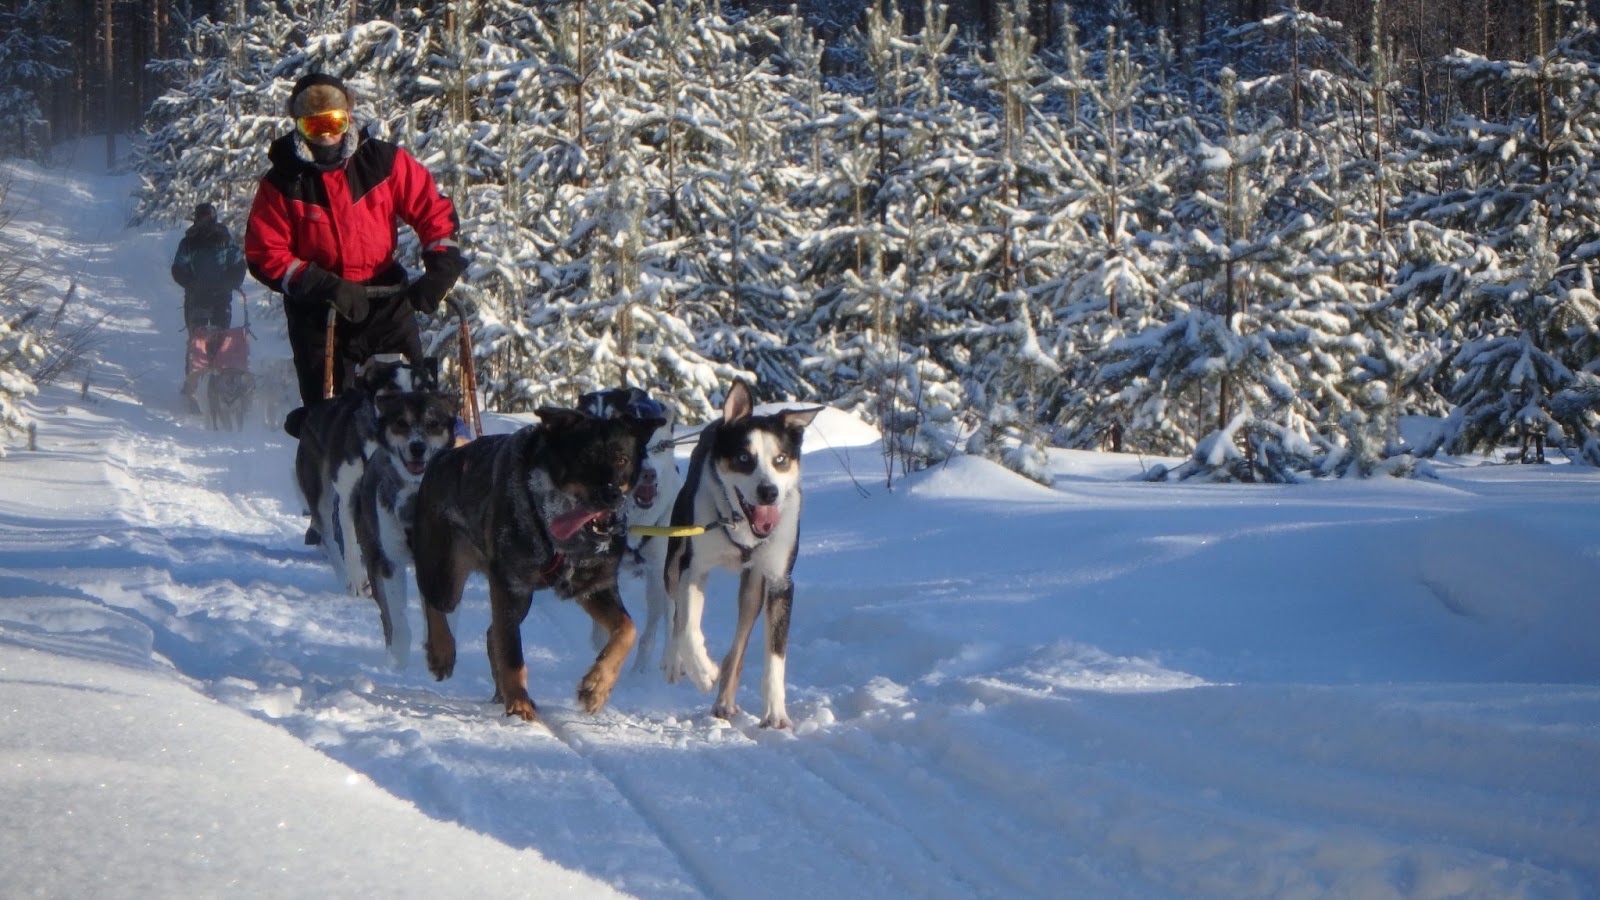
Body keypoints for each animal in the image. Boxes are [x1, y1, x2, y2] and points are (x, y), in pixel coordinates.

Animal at [348, 385, 451, 666]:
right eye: (401, 423)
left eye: (433, 423)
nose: (417, 447)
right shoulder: (389, 562)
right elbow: (397, 617)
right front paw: (399, 661)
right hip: (373, 554)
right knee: (386, 615)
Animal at [416, 406, 665, 720]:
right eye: (585, 458)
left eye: (622, 459)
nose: (611, 494)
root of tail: (443, 457)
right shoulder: (511, 585)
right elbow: (512, 653)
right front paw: (519, 703)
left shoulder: (595, 586)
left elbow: (627, 629)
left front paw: (596, 687)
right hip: (447, 571)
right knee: (436, 603)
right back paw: (442, 652)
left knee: (492, 633)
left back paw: (500, 691)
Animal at [659, 377, 819, 730]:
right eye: (744, 458)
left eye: (781, 459)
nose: (768, 492)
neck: (740, 525)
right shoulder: (694, 568)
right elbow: (688, 626)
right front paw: (703, 671)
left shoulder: (780, 582)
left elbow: (775, 656)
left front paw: (776, 714)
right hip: (674, 561)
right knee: (674, 613)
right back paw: (676, 662)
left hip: (753, 590)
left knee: (739, 646)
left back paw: (725, 701)